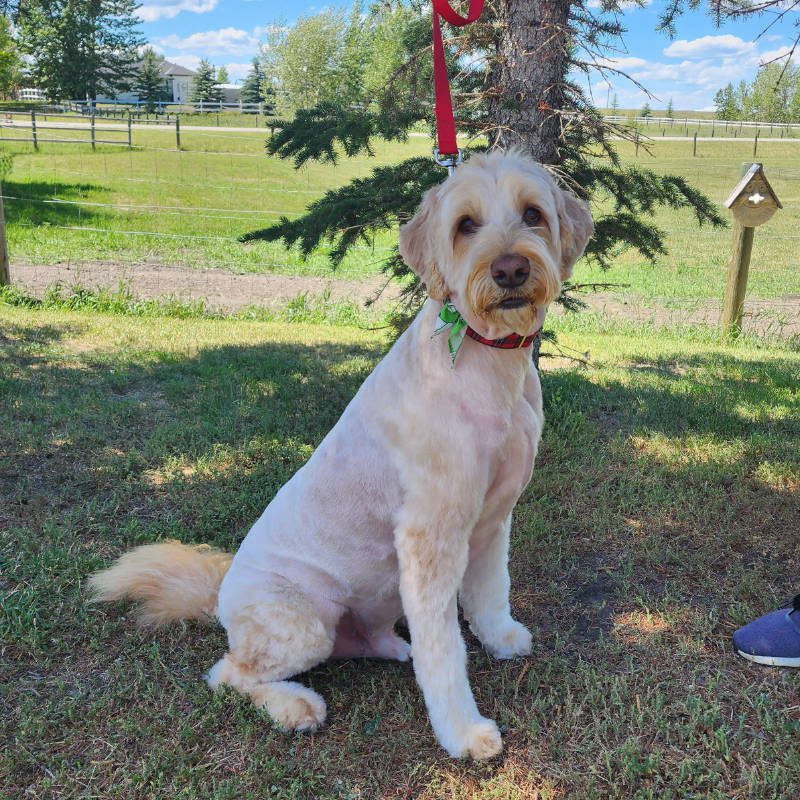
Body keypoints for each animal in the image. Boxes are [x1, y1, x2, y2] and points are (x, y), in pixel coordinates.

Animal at [89, 148, 592, 756]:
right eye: (466, 225)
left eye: (533, 214)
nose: (511, 270)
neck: (487, 358)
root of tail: (222, 595)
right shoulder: (431, 535)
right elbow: (445, 650)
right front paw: (464, 733)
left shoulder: (492, 519)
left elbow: (491, 591)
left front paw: (500, 638)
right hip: (303, 620)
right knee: (229, 673)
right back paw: (295, 705)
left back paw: (390, 647)